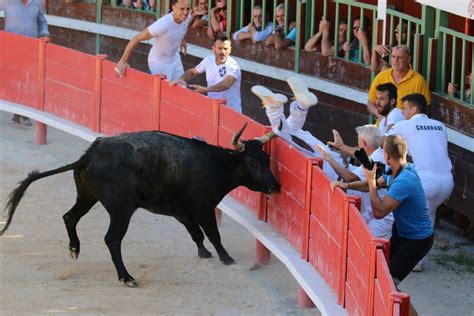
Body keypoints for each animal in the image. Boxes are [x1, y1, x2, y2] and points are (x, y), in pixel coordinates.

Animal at [0, 123, 280, 286]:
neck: (216, 165)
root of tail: (88, 156)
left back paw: (75, 249)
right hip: (121, 210)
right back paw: (127, 277)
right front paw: (227, 259)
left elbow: (197, 235)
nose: (275, 187)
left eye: (267, 159)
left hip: (87, 196)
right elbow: (213, 234)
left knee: (70, 217)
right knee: (112, 239)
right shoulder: (204, 208)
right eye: (251, 162)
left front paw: (204, 254)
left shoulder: (182, 212)